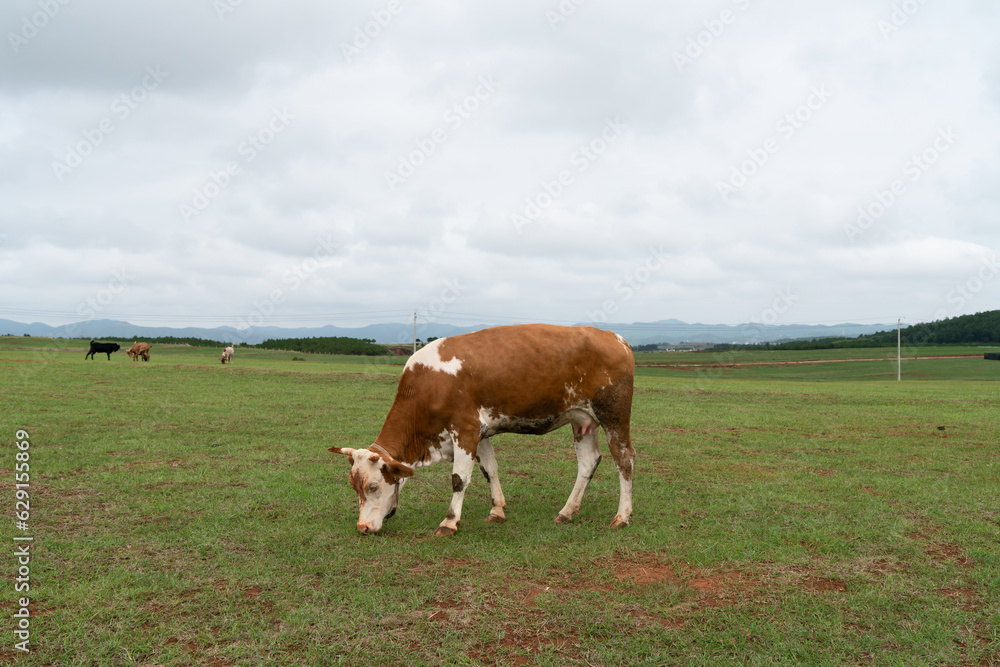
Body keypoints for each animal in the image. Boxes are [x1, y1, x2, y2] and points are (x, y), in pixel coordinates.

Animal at [332, 324, 636, 536]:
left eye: (372, 486)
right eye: (354, 486)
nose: (362, 527)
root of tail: (615, 337)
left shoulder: (464, 430)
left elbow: (459, 479)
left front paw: (449, 522)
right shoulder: (479, 433)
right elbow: (490, 469)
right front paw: (497, 510)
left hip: (614, 417)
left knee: (624, 459)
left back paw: (622, 516)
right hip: (582, 421)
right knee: (588, 462)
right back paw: (566, 512)